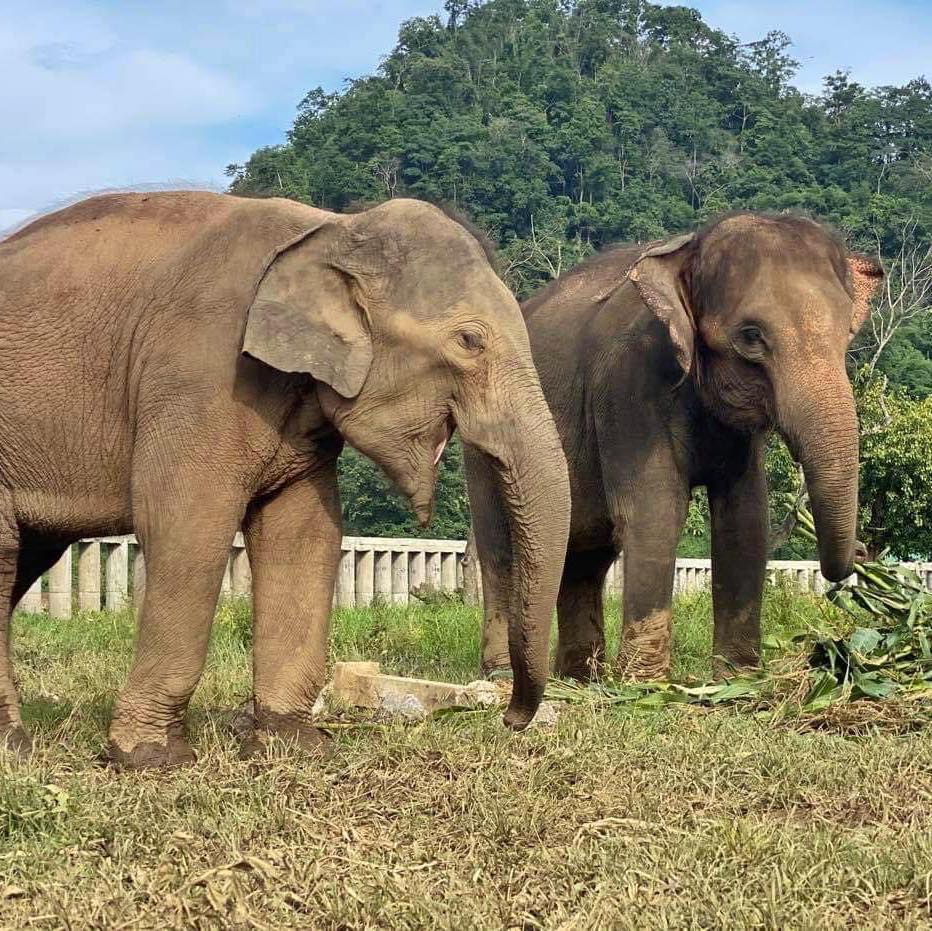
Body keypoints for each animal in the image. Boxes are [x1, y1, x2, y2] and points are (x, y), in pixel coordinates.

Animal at [0, 191, 572, 772]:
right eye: (470, 340)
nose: (510, 717)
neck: (331, 228)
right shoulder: (201, 373)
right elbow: (187, 527)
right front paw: (150, 757)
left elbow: (303, 535)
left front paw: (293, 744)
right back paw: (15, 746)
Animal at [470, 215, 884, 688]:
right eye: (751, 336)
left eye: (847, 333)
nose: (862, 554)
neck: (687, 251)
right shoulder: (629, 385)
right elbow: (655, 509)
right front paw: (644, 685)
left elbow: (745, 517)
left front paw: (737, 680)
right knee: (501, 546)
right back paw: (503, 676)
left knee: (585, 555)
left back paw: (580, 680)